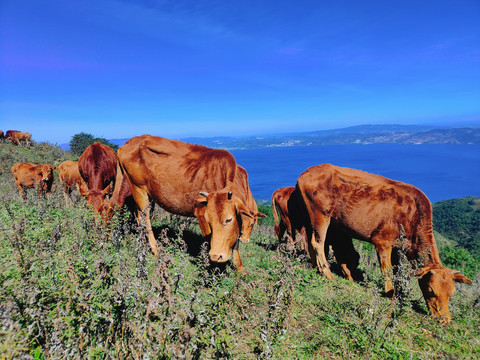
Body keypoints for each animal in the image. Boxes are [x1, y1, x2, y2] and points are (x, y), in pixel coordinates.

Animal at [117, 135, 264, 270]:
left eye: (229, 219)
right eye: (209, 220)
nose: (216, 256)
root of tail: (130, 141)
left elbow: (236, 241)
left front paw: (240, 267)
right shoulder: (199, 211)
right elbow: (208, 239)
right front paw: (210, 265)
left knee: (137, 215)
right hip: (138, 187)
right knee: (144, 217)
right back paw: (156, 250)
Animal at [298, 163, 470, 324]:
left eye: (452, 293)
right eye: (430, 289)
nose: (444, 319)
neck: (412, 215)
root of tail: (308, 171)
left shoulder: (398, 247)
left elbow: (397, 270)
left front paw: (399, 291)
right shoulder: (382, 241)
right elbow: (386, 269)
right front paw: (389, 292)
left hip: (309, 218)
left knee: (310, 242)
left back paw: (315, 268)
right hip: (321, 214)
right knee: (317, 243)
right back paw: (327, 274)